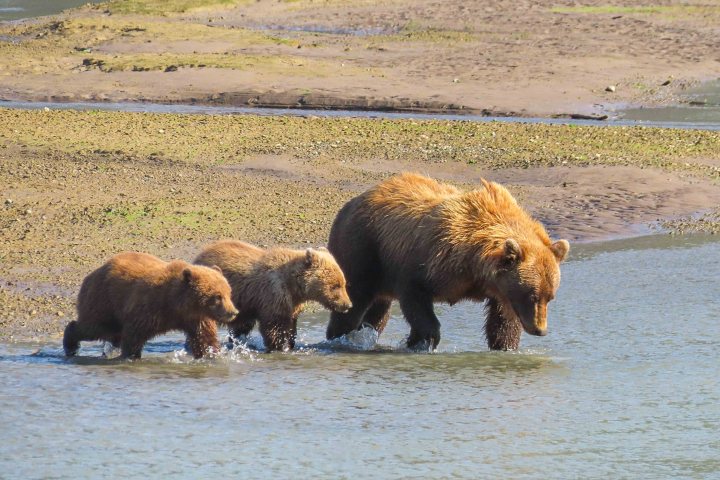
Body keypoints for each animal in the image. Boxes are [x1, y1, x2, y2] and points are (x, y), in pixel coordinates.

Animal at [63, 252, 239, 359]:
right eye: (217, 296)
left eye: (228, 293)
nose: (233, 312)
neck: (176, 304)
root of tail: (91, 274)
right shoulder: (149, 307)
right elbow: (134, 335)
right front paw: (131, 356)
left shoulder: (196, 318)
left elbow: (204, 338)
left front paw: (211, 355)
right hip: (103, 300)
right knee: (94, 327)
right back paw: (71, 346)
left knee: (111, 333)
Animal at [194, 240, 352, 352]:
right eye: (335, 285)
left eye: (343, 283)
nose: (348, 304)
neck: (294, 285)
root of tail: (199, 255)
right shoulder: (274, 294)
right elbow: (275, 325)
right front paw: (281, 346)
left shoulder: (292, 304)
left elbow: (291, 325)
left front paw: (291, 343)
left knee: (241, 326)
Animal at [325, 172, 570, 351]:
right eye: (532, 295)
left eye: (550, 296)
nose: (540, 329)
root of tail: (352, 202)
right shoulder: (429, 262)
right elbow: (416, 300)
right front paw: (424, 341)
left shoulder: (500, 289)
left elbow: (503, 321)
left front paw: (505, 346)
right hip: (364, 246)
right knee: (356, 296)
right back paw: (339, 336)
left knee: (379, 310)